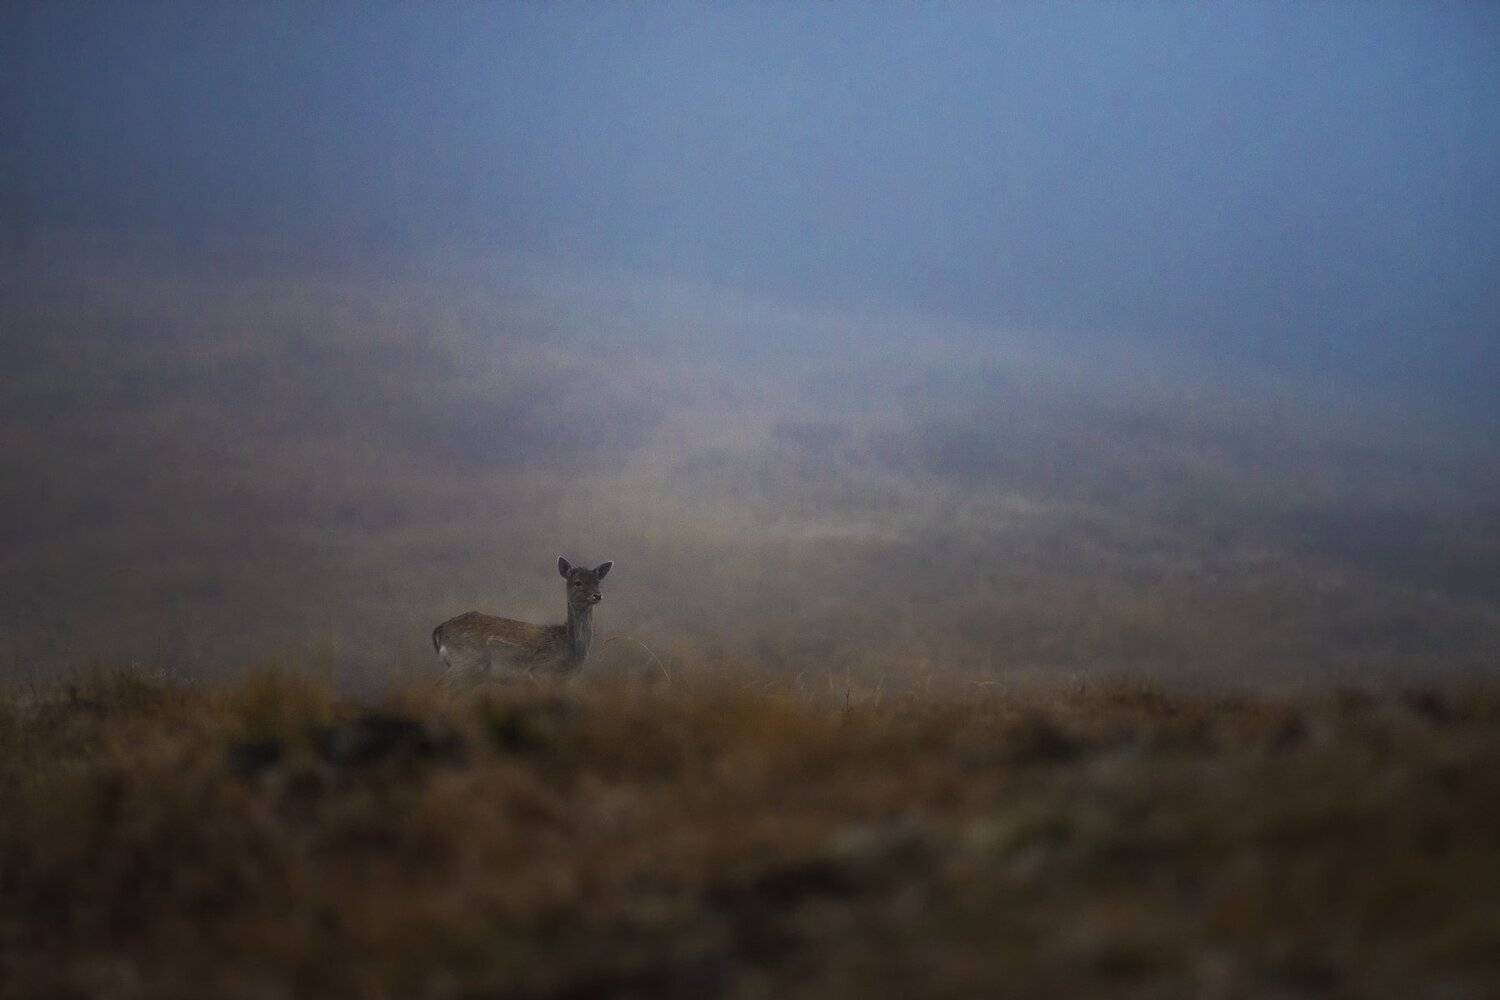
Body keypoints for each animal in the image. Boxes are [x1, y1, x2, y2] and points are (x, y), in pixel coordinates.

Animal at [432, 557, 613, 690]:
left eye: (597, 581)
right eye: (578, 582)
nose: (597, 595)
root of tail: (440, 630)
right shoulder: (542, 671)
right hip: (467, 661)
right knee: (441, 685)